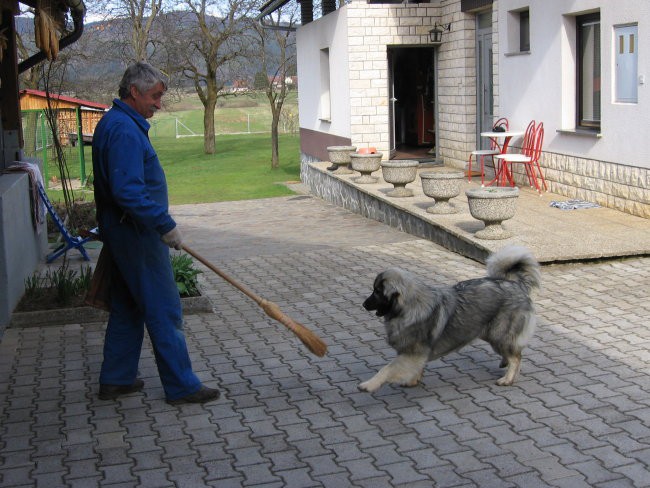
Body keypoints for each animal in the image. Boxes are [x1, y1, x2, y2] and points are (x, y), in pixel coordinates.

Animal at [360, 244, 536, 392]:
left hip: (498, 333)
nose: (364, 304)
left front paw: (369, 384)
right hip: (490, 333)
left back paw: (507, 379)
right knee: (513, 352)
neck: (411, 307)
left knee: (516, 357)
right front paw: (413, 381)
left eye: (377, 292)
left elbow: (387, 369)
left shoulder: (411, 354)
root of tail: (515, 284)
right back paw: (504, 362)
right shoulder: (415, 355)